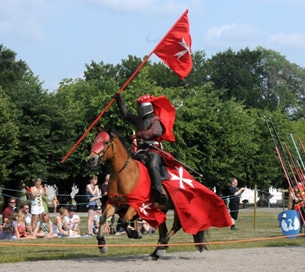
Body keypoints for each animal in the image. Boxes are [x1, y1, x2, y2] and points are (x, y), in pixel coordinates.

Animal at [86, 129, 230, 260]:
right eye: (95, 141)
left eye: (105, 142)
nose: (91, 159)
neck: (124, 174)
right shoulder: (115, 204)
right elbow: (104, 219)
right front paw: (102, 244)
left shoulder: (138, 205)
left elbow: (125, 221)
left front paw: (136, 234)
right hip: (161, 209)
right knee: (163, 230)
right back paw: (155, 253)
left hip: (178, 207)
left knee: (175, 226)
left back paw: (161, 248)